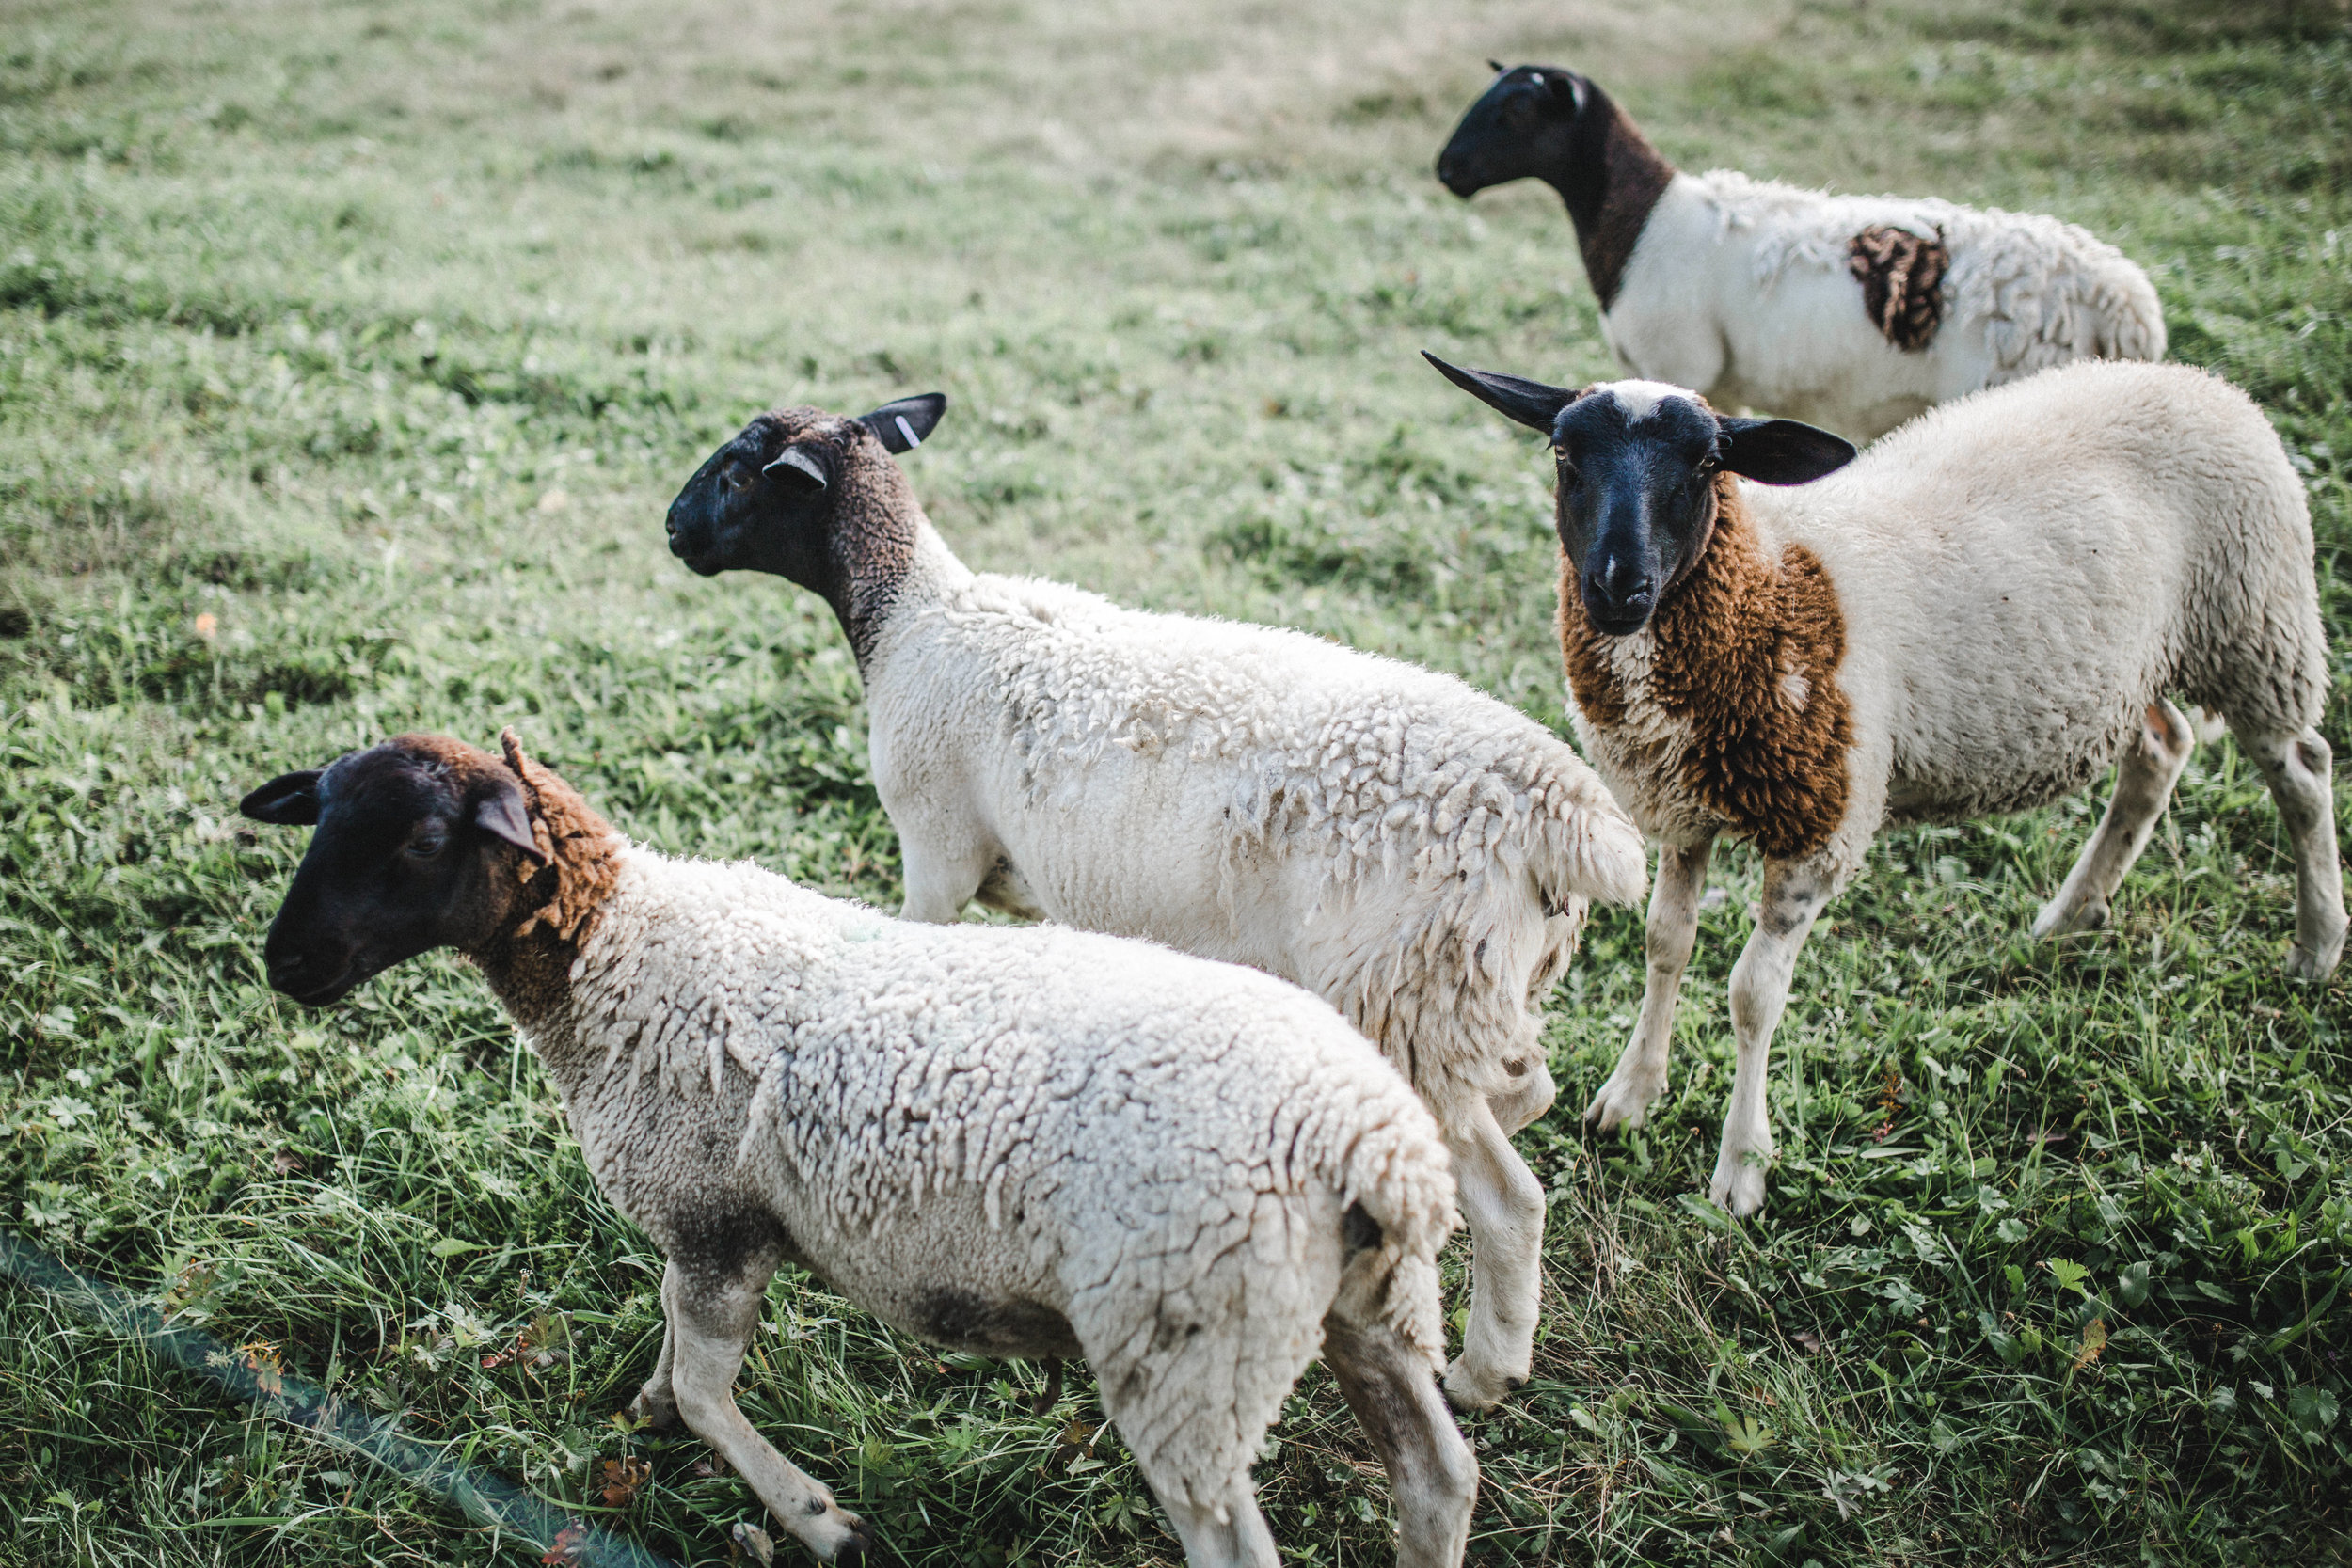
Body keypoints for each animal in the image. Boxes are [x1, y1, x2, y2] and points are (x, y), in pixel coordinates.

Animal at [243, 733, 1486, 1568]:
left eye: (419, 839)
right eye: (319, 818)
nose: (285, 961)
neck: (615, 951)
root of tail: (1368, 1141)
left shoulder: (717, 1221)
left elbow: (709, 1391)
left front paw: (815, 1517)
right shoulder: (703, 1222)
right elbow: (673, 1353)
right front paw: (646, 1406)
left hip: (1187, 1346)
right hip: (1359, 1308)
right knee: (1436, 1478)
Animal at [663, 392, 1656, 1410]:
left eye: (737, 475)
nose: (672, 531)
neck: (913, 618)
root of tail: (1565, 815)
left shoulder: (935, 850)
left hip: (1408, 992)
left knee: (1511, 1198)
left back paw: (1483, 1370)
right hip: (1472, 993)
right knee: (1527, 1088)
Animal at [1421, 350, 2343, 1222]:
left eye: (1710, 461)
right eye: (1563, 450)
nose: (1619, 586)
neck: (1770, 584)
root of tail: (2201, 381)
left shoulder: (1817, 824)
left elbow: (1752, 994)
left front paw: (1741, 1169)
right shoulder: (1682, 807)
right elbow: (1665, 943)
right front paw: (1631, 1093)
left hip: (2257, 627)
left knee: (2303, 772)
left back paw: (2317, 943)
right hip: (2133, 665)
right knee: (2161, 748)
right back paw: (2073, 912)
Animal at [1430, 61, 2164, 441]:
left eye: (1517, 111)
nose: (1447, 169)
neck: (1640, 221)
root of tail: (2126, 308)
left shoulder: (1679, 364)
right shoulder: (1718, 390)